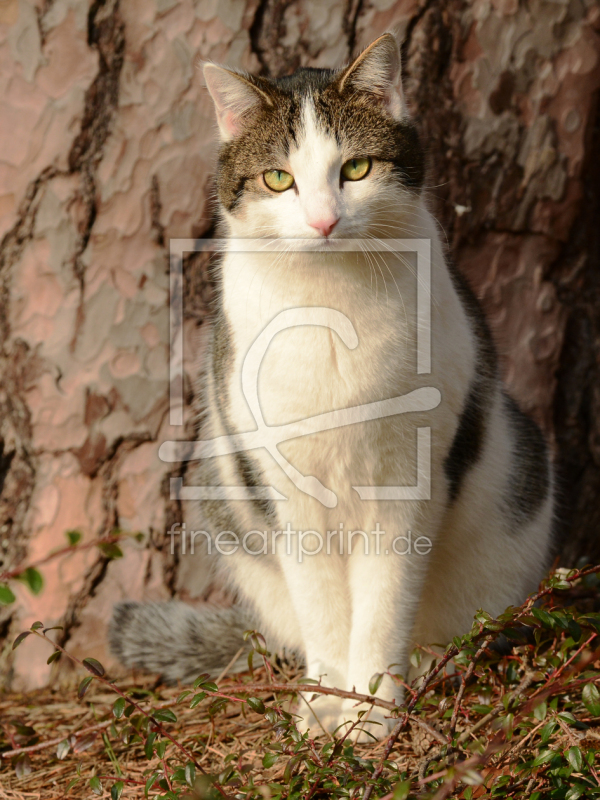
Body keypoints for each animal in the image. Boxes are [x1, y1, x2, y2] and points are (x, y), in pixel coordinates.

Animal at [109, 32, 552, 744]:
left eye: (357, 169)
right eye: (278, 178)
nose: (323, 221)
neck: (329, 306)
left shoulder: (408, 484)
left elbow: (381, 608)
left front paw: (371, 718)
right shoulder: (283, 488)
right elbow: (324, 609)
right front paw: (324, 707)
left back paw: (431, 669)